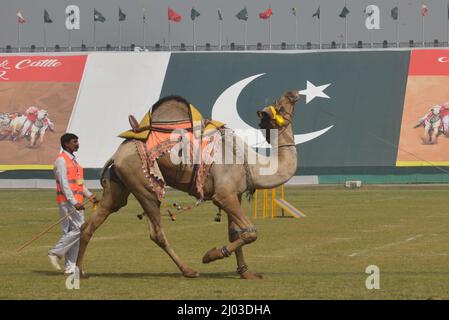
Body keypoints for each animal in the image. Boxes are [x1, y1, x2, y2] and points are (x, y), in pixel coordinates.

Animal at [76, 90, 300, 280]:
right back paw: (189, 270)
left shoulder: (234, 194)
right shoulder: (224, 195)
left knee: (92, 223)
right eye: (279, 107)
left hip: (119, 185)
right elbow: (251, 232)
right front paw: (210, 255)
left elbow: (237, 232)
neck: (251, 163)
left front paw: (246, 273)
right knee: (156, 232)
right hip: (142, 182)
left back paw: (80, 271)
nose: (294, 93)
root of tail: (116, 154)